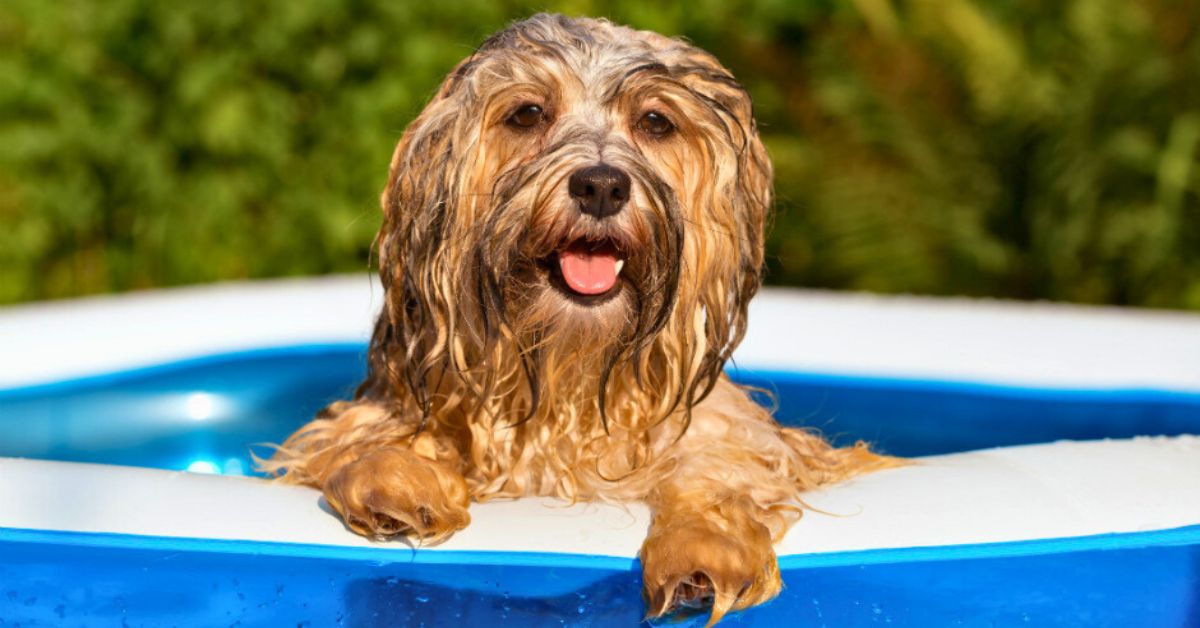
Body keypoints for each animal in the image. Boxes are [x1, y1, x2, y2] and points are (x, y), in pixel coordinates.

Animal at [270, 13, 892, 624]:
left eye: (655, 121)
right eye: (527, 113)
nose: (601, 185)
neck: (567, 369)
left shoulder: (730, 432)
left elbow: (719, 464)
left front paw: (703, 548)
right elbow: (360, 436)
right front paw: (394, 479)